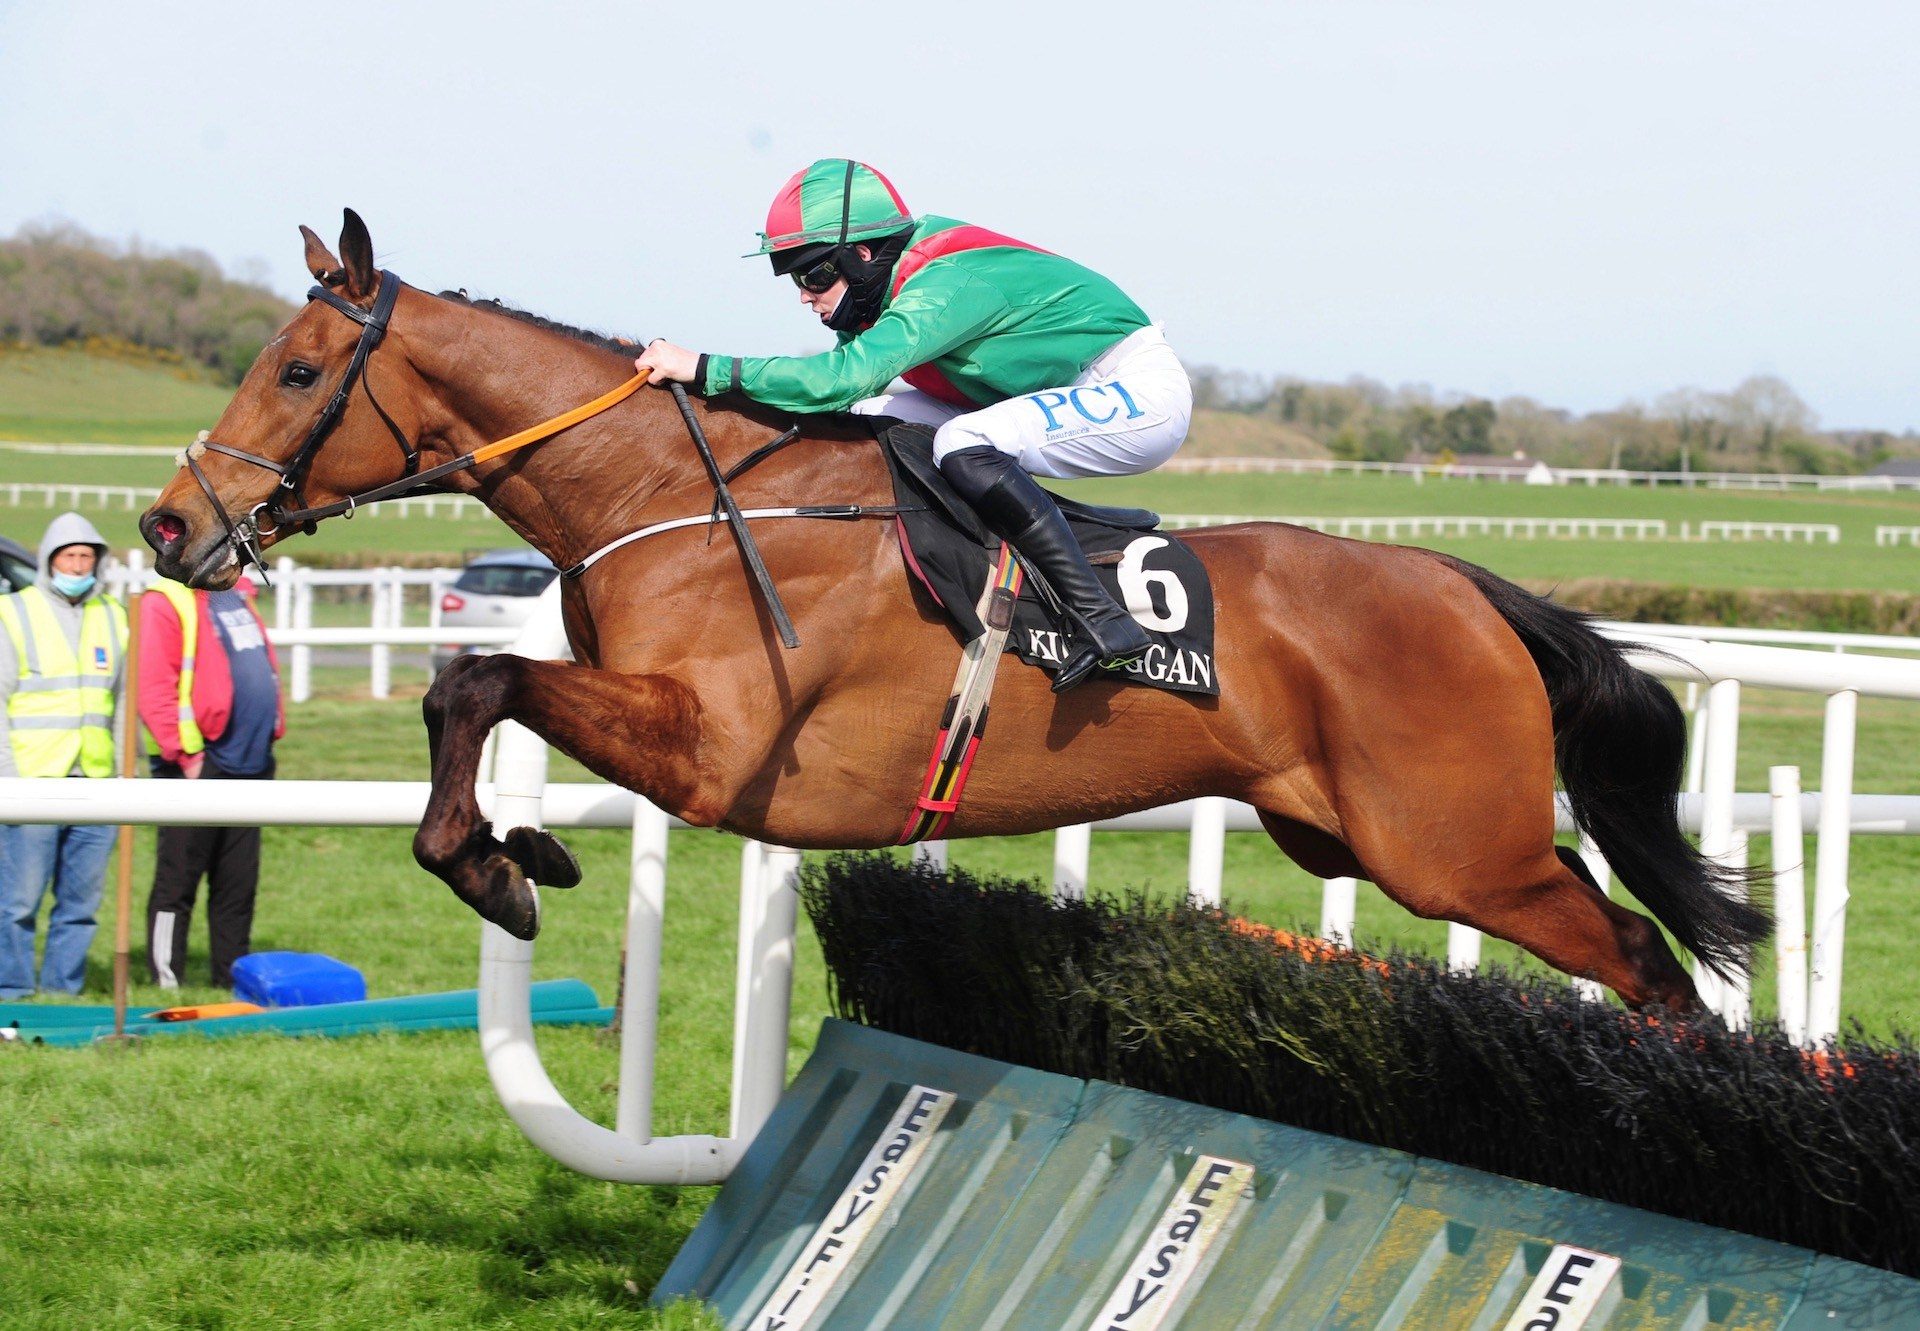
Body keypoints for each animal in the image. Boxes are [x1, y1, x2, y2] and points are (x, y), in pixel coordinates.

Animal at [139, 213, 1766, 1006]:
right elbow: (470, 689)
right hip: (1372, 836)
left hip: (1454, 852)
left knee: (1645, 961)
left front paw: (495, 864)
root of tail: (1467, 584)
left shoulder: (713, 753)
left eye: (298, 370)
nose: (170, 524)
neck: (677, 491)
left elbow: (472, 679)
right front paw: (520, 844)